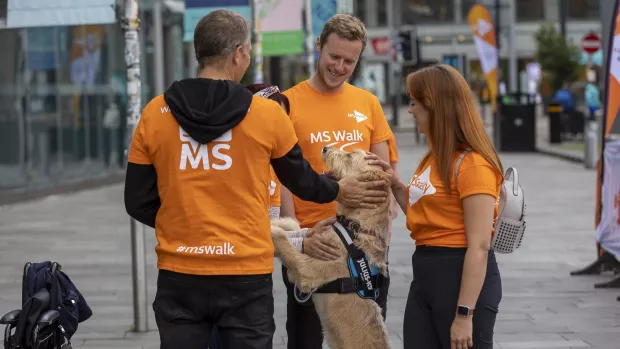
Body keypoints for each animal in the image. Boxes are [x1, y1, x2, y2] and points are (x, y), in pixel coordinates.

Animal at [270, 147, 392, 348]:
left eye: (350, 156)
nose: (325, 148)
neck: (355, 226)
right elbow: (293, 226)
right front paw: (276, 221)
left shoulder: (306, 272)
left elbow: (281, 238)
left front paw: (267, 228)